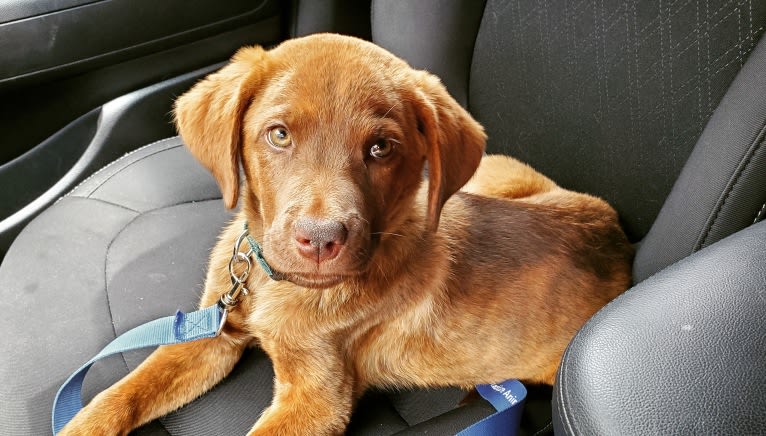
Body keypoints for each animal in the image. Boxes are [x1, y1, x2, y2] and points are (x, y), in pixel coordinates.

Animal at [61, 35, 636, 436]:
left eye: (381, 148)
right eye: (279, 135)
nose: (320, 242)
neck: (272, 283)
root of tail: (618, 240)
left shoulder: (316, 398)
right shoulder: (212, 331)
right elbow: (123, 392)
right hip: (493, 173)